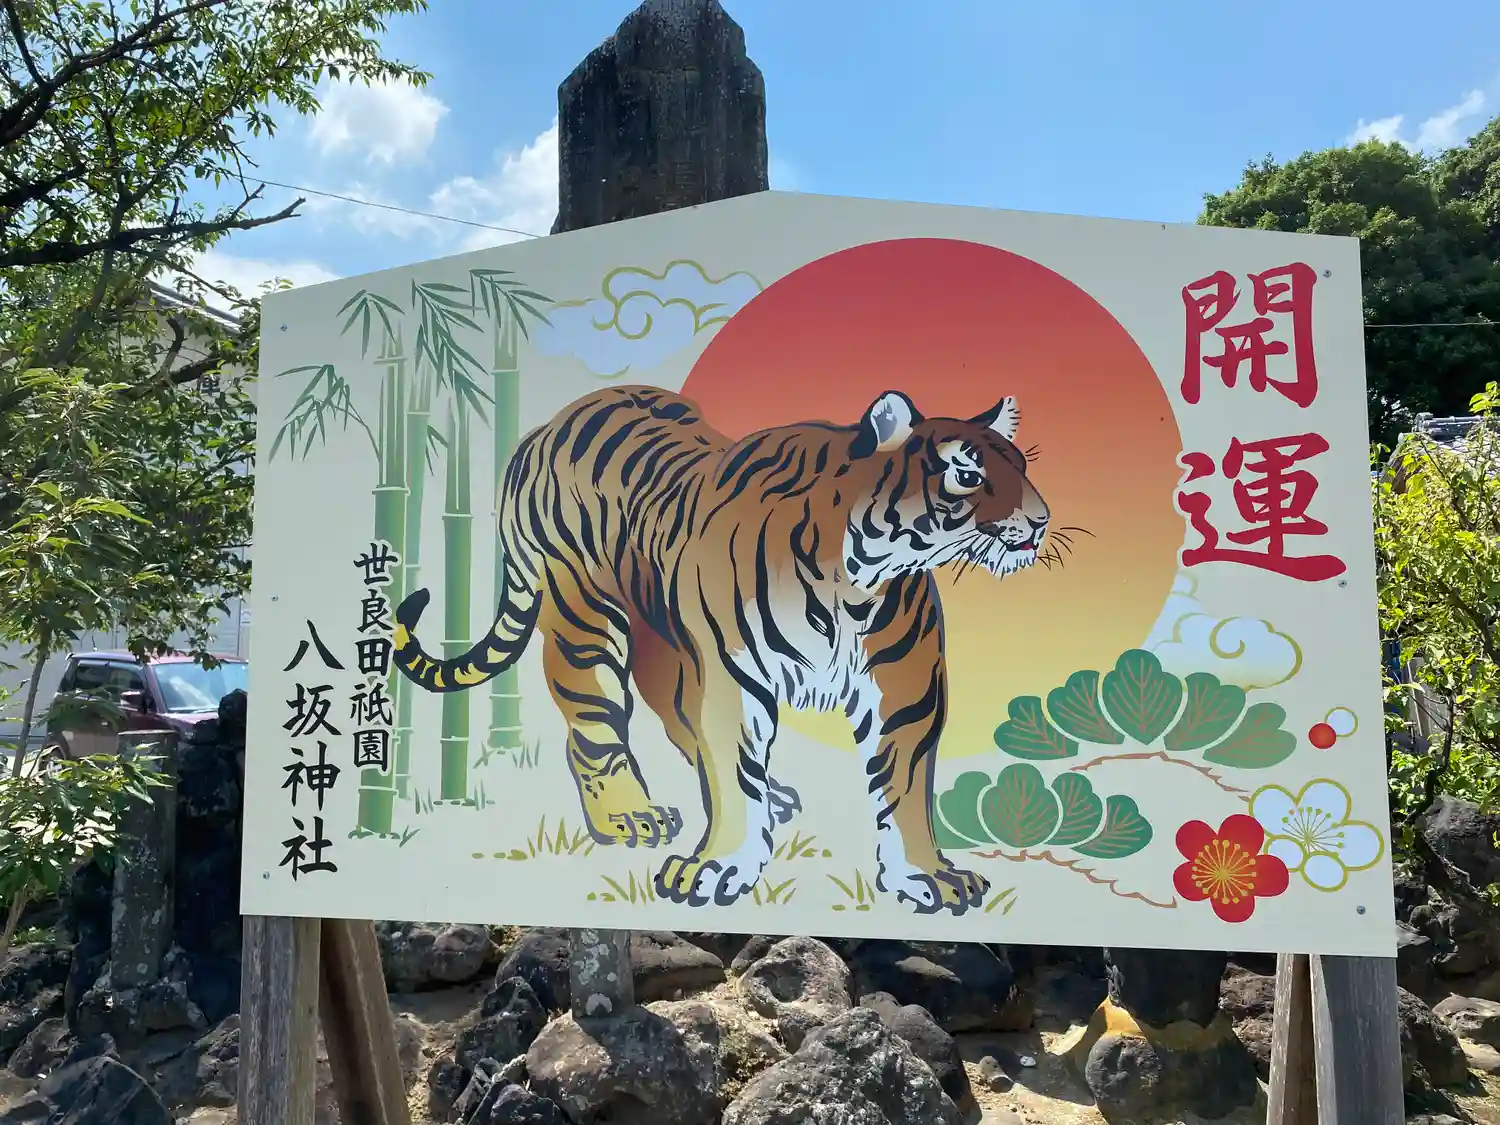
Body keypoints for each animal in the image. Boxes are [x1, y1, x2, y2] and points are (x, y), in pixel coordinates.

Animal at [391, 384, 1051, 916]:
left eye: (1020, 466)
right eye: (967, 475)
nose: (1042, 521)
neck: (860, 574)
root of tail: (544, 426)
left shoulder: (905, 685)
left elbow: (906, 785)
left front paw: (926, 876)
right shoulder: (733, 676)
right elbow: (732, 772)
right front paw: (718, 866)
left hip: (664, 642)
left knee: (675, 720)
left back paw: (771, 798)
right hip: (585, 617)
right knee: (595, 725)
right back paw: (628, 816)